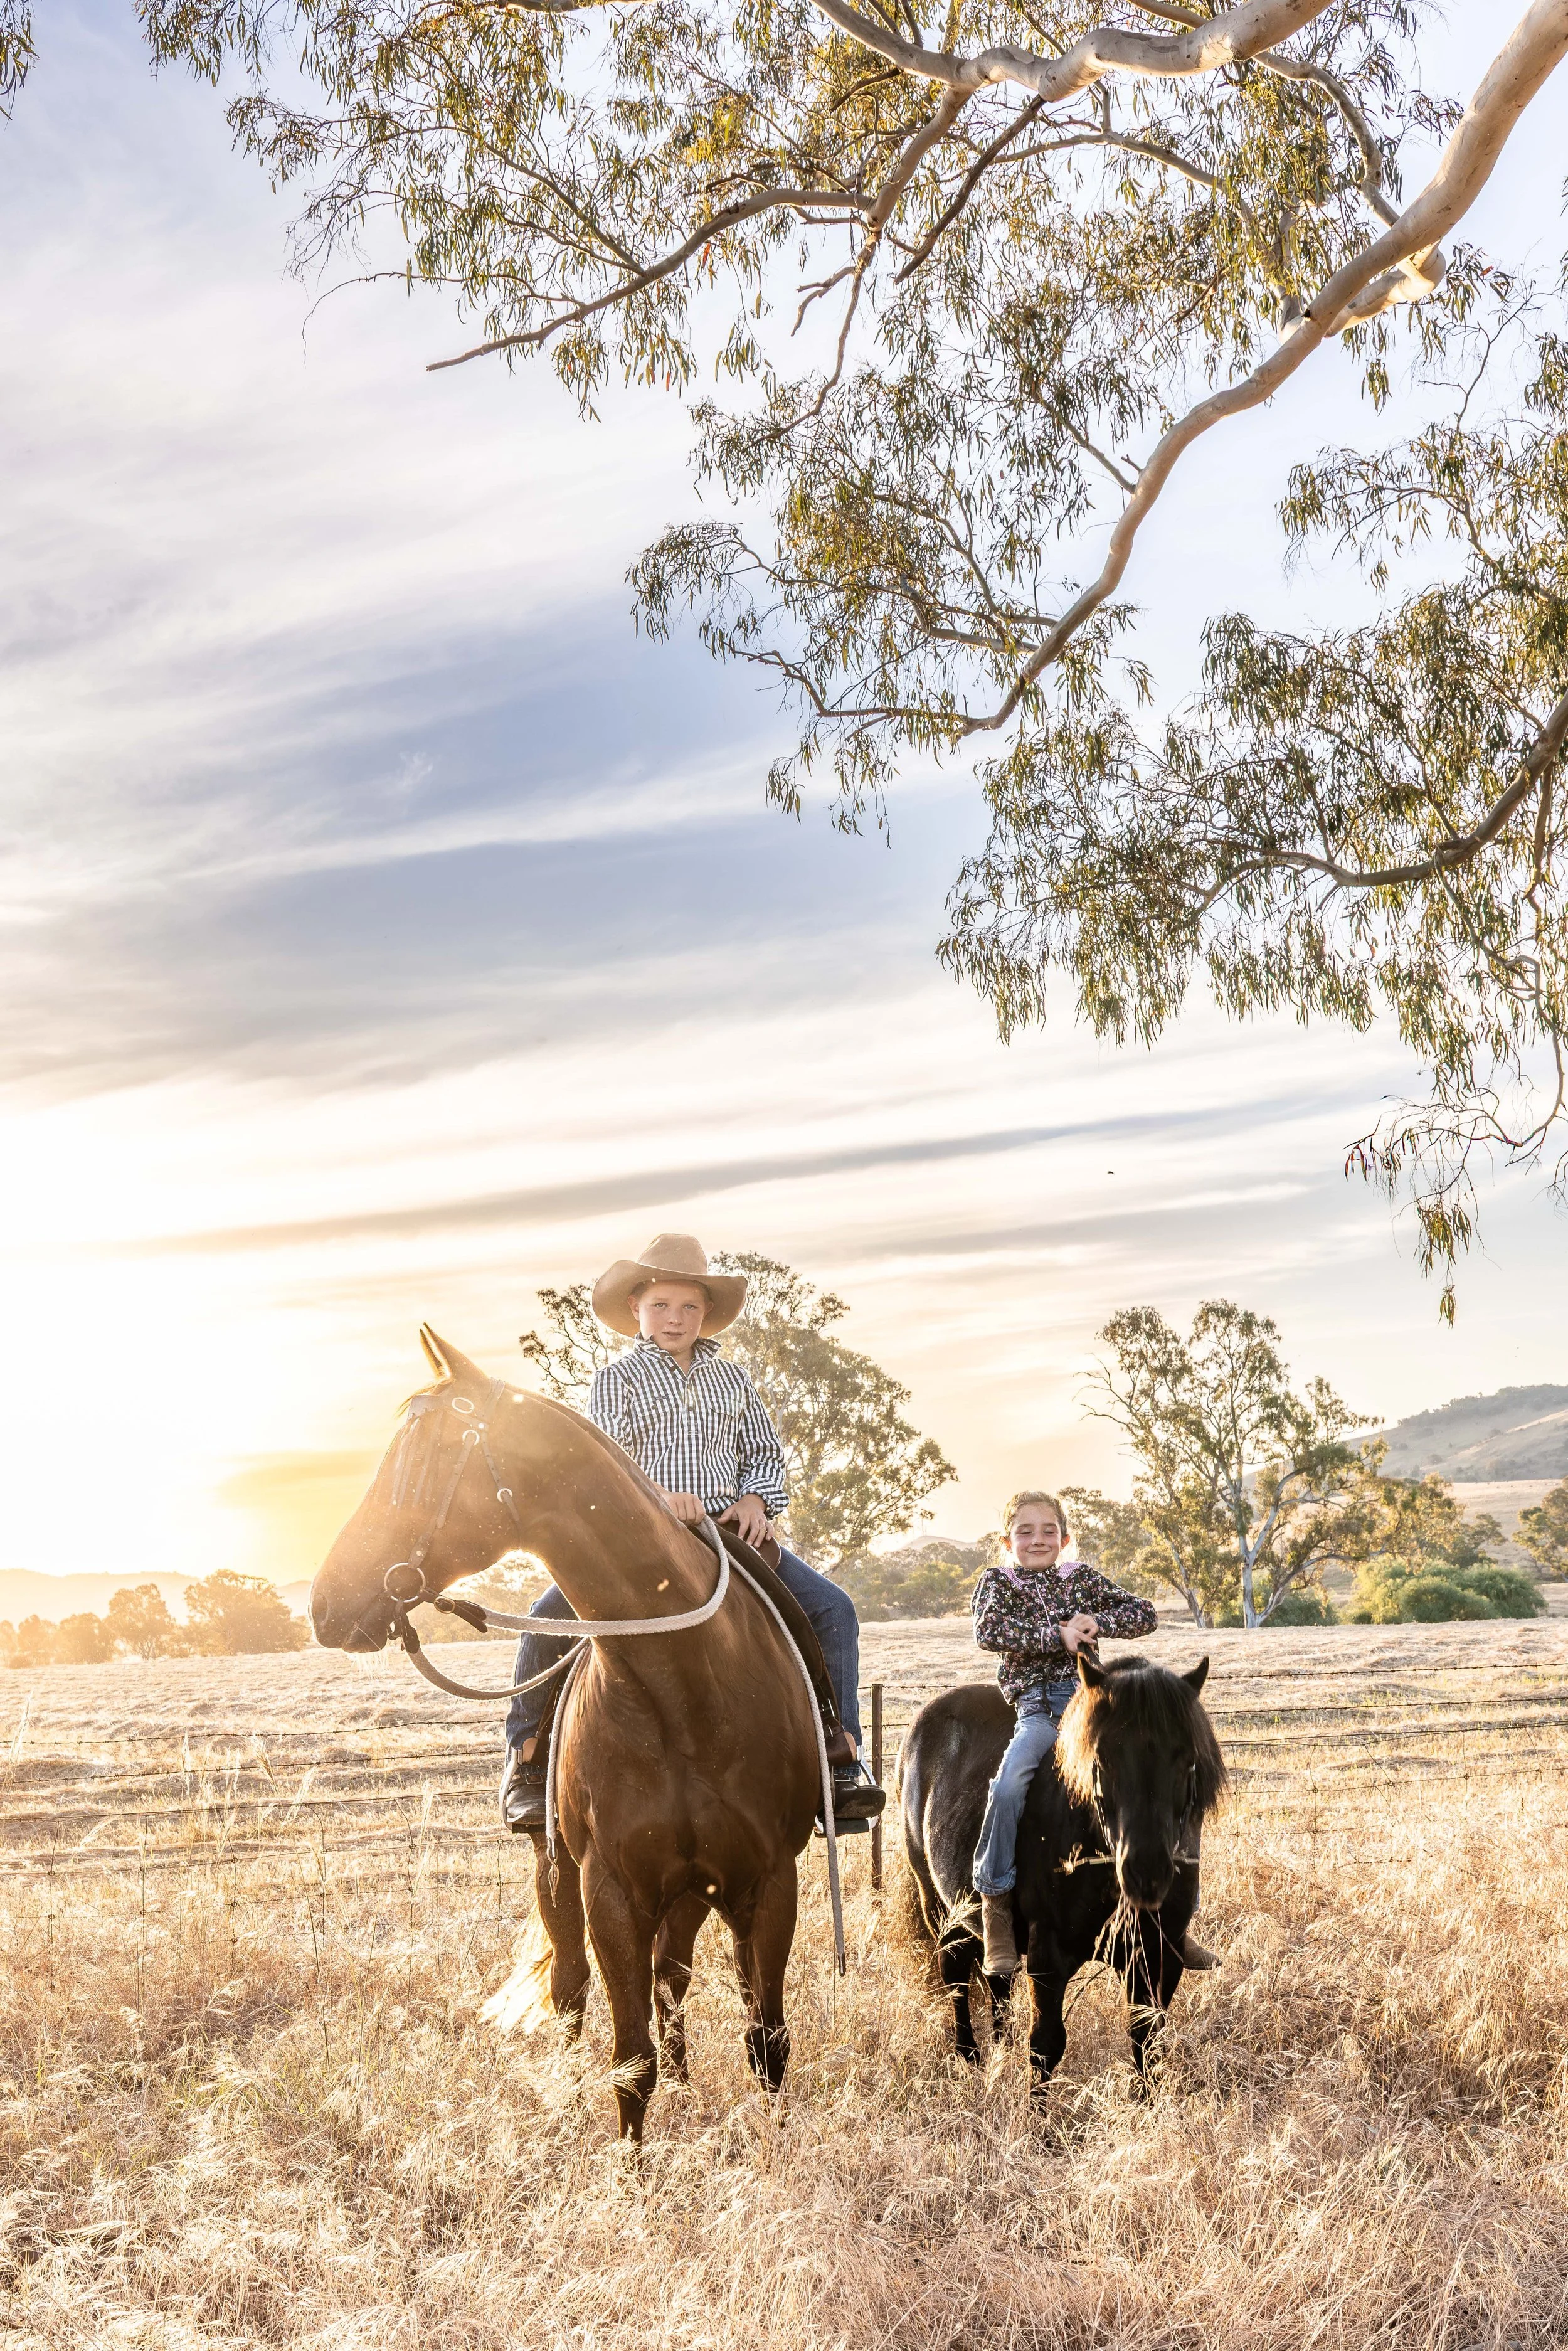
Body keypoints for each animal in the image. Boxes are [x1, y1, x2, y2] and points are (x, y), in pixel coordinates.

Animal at [308, 1328, 830, 2141]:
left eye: (424, 1456)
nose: (326, 1604)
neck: (682, 1680)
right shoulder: (609, 1888)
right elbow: (629, 2059)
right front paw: (631, 2166)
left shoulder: (770, 1881)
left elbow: (765, 2039)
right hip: (560, 1874)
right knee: (571, 1983)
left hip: (689, 1889)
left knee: (670, 1976)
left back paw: (687, 2084)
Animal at [897, 1653, 1226, 2090]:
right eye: (1101, 1758)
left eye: (1187, 1757)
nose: (1147, 1873)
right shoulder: (1048, 1958)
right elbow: (1046, 2046)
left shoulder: (1158, 1957)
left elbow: (1147, 2041)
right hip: (936, 1899)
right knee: (954, 1970)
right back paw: (970, 2056)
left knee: (995, 1976)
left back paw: (1000, 2046)